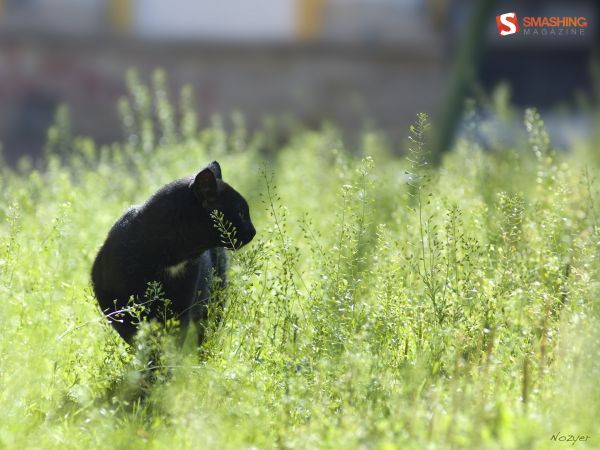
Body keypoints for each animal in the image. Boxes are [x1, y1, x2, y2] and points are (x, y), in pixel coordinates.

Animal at [91, 162, 255, 344]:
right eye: (241, 213)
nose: (253, 231)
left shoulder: (180, 308)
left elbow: (172, 342)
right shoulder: (117, 307)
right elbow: (138, 338)